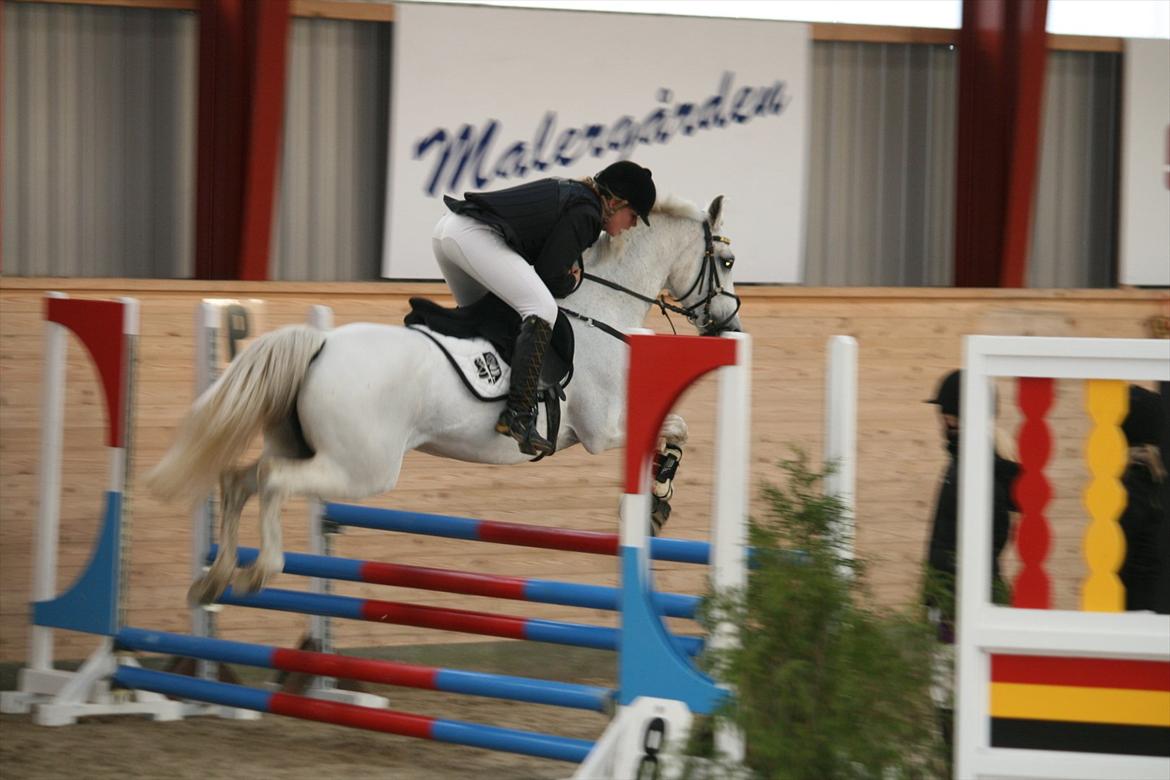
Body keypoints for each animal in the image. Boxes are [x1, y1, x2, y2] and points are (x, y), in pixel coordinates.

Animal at [147, 194, 743, 606]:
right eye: (729, 261)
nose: (731, 326)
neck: (602, 308)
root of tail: (319, 345)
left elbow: (674, 431)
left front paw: (656, 503)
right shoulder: (604, 430)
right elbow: (675, 428)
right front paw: (656, 501)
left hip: (304, 448)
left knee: (239, 478)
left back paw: (215, 579)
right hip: (362, 468)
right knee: (271, 481)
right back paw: (258, 570)